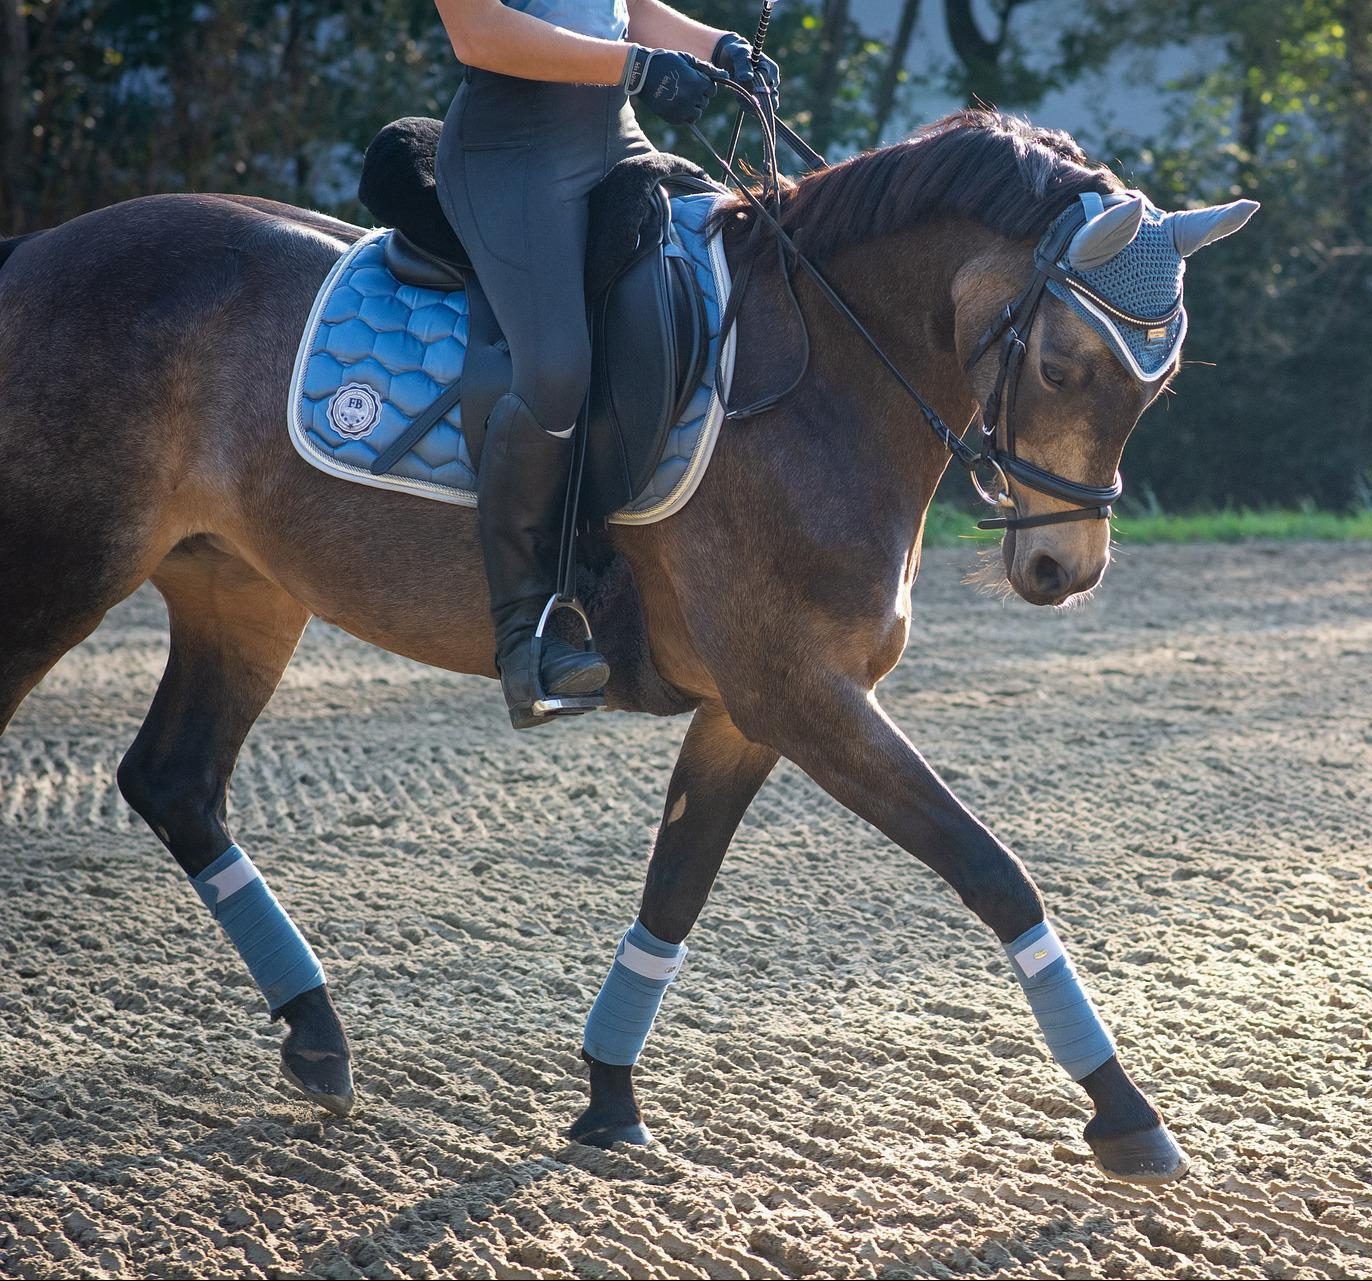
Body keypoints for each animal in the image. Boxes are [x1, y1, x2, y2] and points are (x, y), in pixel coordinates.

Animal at [0, 109, 1255, 1184]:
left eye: (1157, 386)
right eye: (1061, 367)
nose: (1062, 573)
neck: (821, 382)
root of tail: (39, 251)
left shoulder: (753, 710)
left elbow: (675, 887)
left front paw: (608, 1098)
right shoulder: (804, 693)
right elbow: (990, 869)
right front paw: (1126, 1114)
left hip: (240, 588)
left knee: (175, 780)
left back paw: (317, 1041)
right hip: (62, 564)